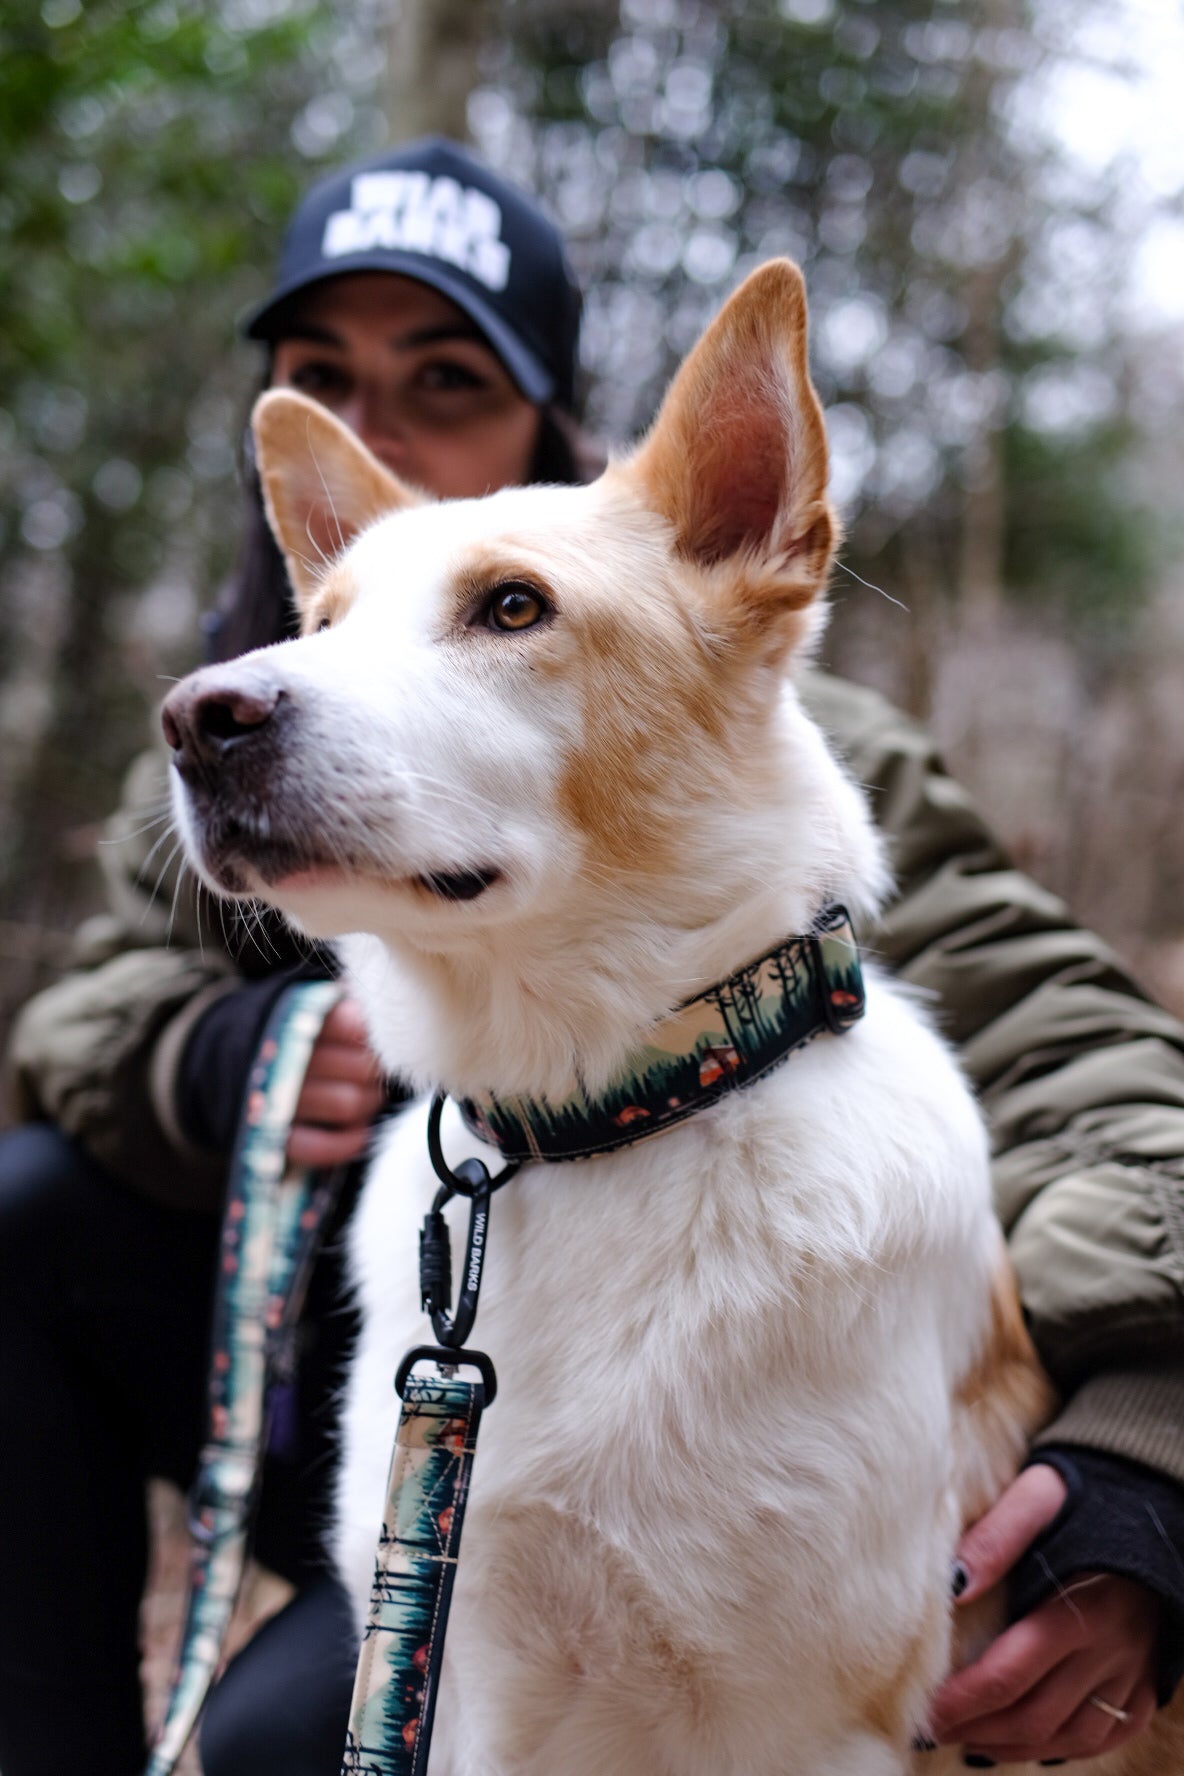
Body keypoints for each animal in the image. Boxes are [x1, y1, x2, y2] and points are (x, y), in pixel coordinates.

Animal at [164, 266, 1178, 1776]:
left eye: (512, 608)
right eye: (322, 623)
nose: (196, 717)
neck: (607, 1114)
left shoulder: (810, 1727)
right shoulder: (460, 1675)